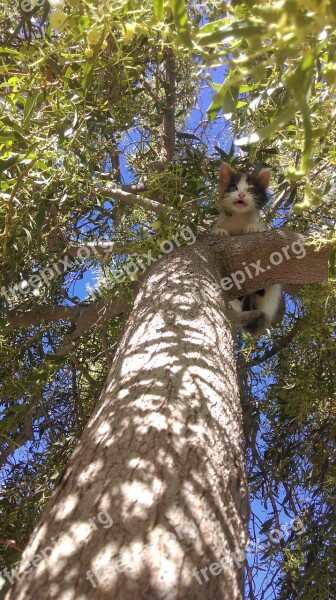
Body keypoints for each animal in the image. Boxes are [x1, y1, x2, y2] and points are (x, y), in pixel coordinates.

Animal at [213, 162, 284, 336]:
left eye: (250, 190)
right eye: (233, 187)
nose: (241, 194)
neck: (239, 217)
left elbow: (258, 227)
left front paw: (252, 228)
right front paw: (220, 231)